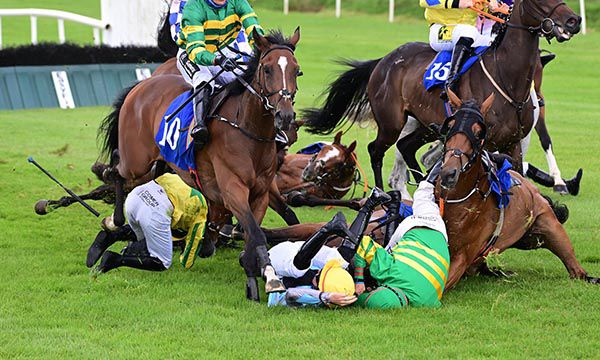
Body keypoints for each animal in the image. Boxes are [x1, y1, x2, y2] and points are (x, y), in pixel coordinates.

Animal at [99, 28, 304, 300]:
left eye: (296, 70)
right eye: (268, 69)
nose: (285, 116)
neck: (250, 131)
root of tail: (141, 85)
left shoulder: (260, 193)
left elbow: (254, 231)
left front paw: (258, 267)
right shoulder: (232, 189)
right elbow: (255, 231)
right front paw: (270, 277)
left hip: (162, 159)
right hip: (136, 160)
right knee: (116, 168)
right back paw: (114, 219)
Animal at [304, 0, 580, 191]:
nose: (573, 20)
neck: (506, 79)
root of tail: (384, 61)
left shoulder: (513, 143)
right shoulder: (485, 143)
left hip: (428, 125)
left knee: (406, 147)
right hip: (392, 122)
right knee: (376, 150)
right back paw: (382, 193)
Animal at [438, 90, 596, 290]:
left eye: (478, 132)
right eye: (450, 126)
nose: (449, 172)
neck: (458, 198)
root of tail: (532, 189)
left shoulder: (462, 257)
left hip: (549, 229)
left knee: (578, 272)